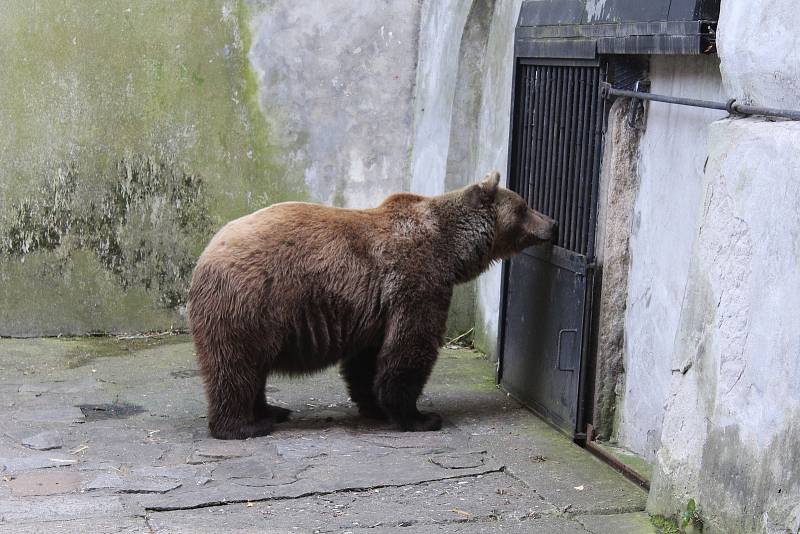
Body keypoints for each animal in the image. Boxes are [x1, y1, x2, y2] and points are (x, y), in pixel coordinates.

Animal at [189, 172, 556, 440]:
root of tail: (204, 256)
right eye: (524, 206)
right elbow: (410, 347)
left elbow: (368, 358)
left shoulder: (374, 306)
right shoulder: (416, 281)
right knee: (236, 365)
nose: (552, 223)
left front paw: (375, 405)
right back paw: (244, 425)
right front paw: (421, 417)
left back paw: (272, 411)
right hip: (250, 302)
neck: (451, 247)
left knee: (253, 367)